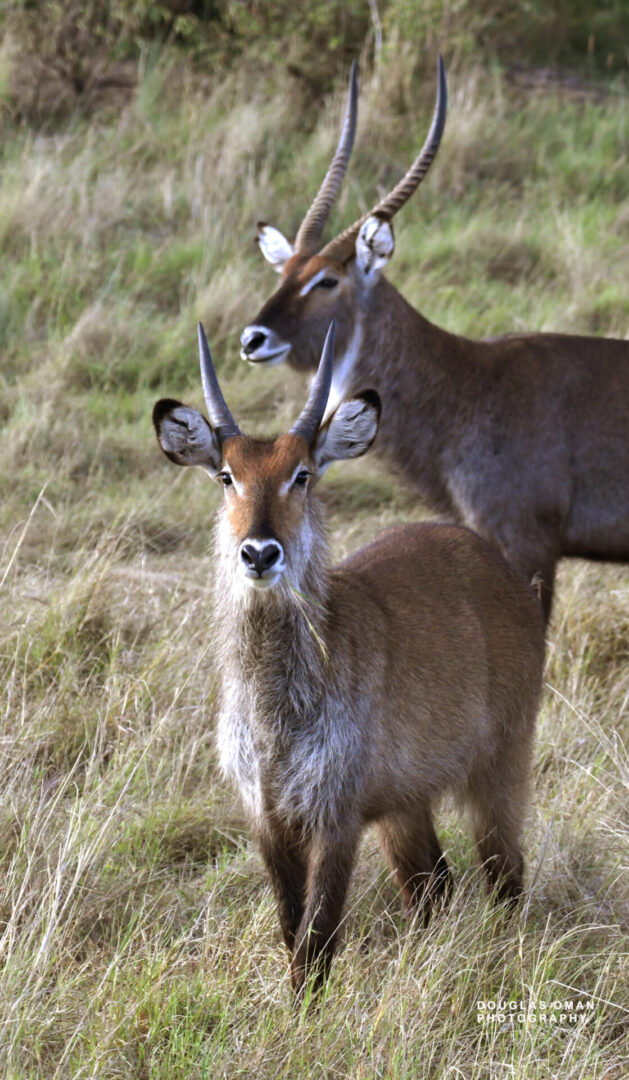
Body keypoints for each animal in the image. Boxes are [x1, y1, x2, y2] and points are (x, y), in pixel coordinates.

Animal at [152, 317, 546, 993]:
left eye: (303, 474)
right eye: (227, 476)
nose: (260, 552)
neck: (276, 708)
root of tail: (504, 569)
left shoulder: (335, 816)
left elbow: (316, 944)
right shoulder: (268, 816)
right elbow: (291, 930)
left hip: (500, 764)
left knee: (504, 875)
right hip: (403, 801)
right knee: (432, 885)